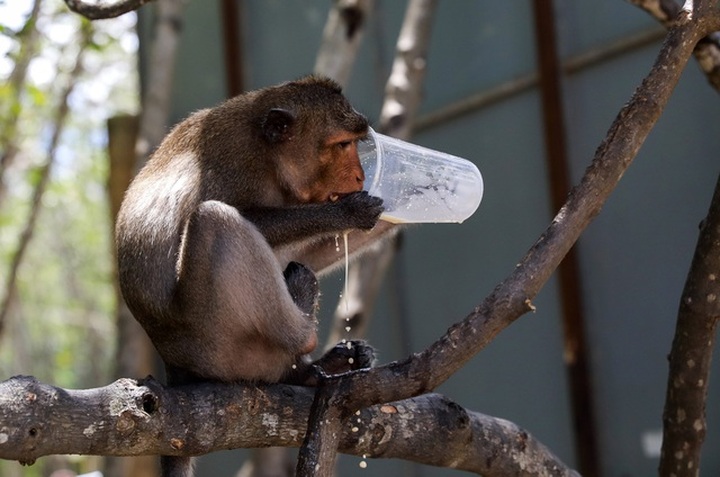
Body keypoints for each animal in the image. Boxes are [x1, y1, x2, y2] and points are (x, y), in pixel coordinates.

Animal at [115, 76, 383, 476]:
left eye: (354, 142)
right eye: (342, 145)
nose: (360, 176)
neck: (269, 158)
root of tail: (176, 368)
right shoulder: (235, 164)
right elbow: (241, 215)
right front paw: (347, 213)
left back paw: (307, 371)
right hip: (220, 343)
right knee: (214, 219)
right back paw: (304, 328)